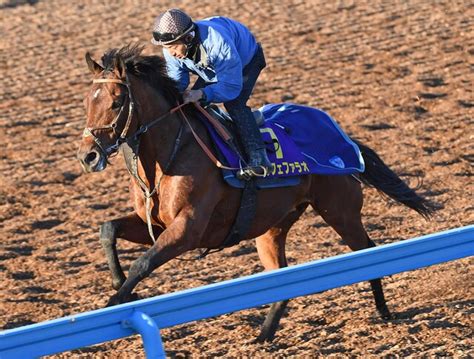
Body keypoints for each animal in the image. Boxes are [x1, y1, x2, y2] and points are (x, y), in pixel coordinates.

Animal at [77, 45, 434, 344]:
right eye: (87, 102)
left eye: (116, 102)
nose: (88, 156)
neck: (170, 155)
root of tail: (343, 136)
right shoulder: (153, 224)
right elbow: (108, 228)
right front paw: (116, 283)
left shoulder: (188, 229)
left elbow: (143, 262)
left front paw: (117, 300)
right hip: (272, 227)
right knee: (281, 277)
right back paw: (264, 335)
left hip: (340, 211)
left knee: (368, 252)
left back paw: (384, 312)